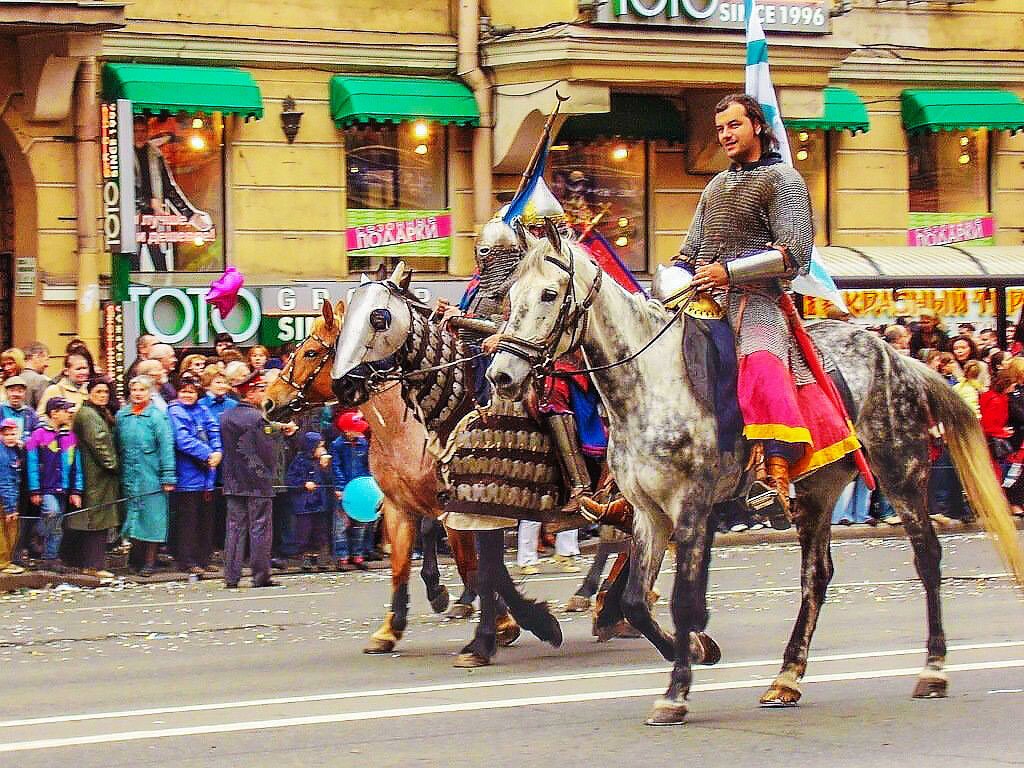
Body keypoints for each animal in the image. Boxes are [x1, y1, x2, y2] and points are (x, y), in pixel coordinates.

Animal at [262, 301, 489, 655]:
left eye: (311, 352)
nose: (268, 401)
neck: (405, 425)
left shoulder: (450, 504)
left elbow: (464, 556)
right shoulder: (400, 504)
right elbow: (402, 563)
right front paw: (395, 625)